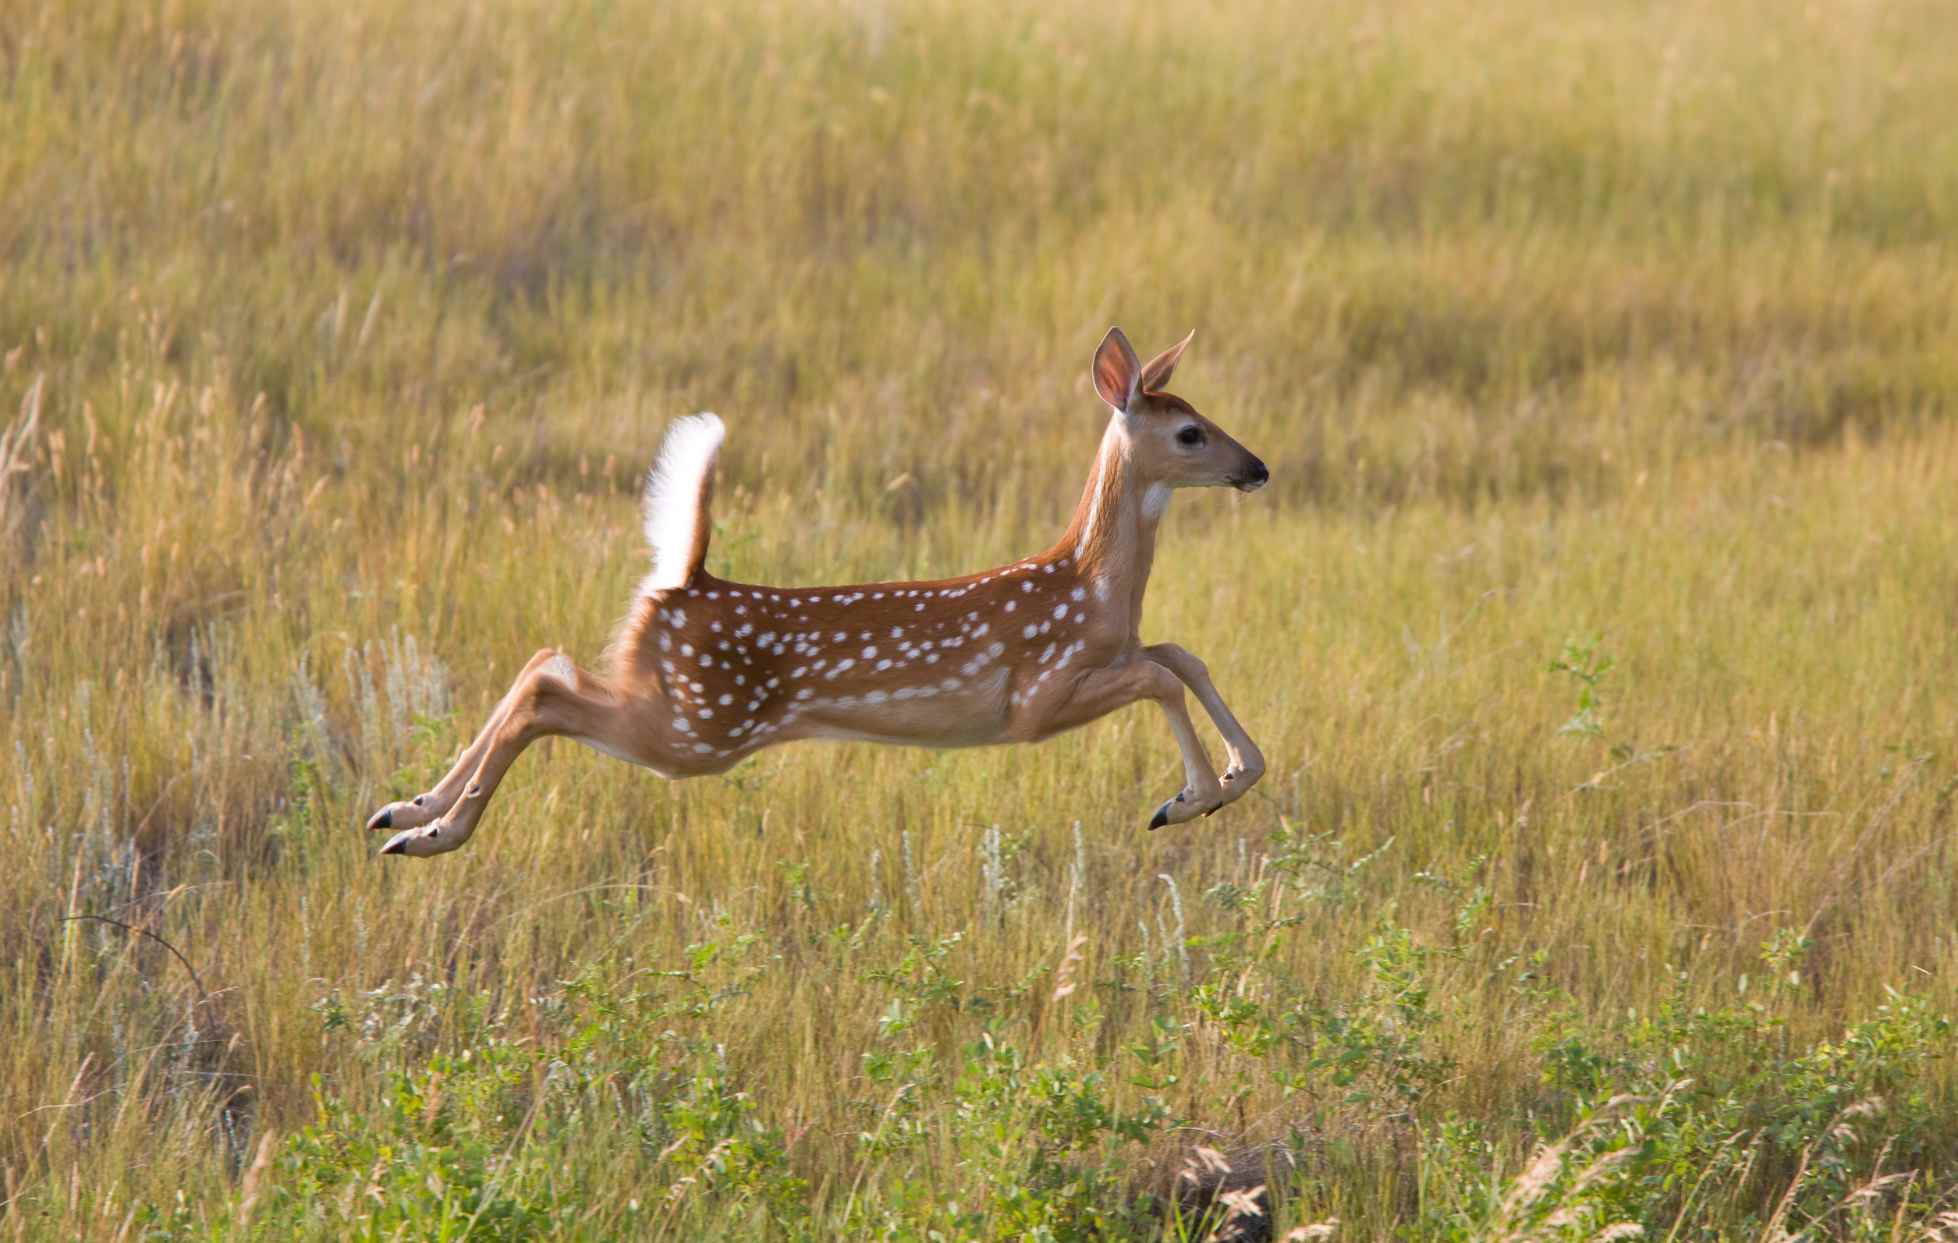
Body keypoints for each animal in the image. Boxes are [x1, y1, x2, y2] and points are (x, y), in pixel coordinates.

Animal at [368, 328, 1268, 857]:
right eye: (1190, 432)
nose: (1255, 467)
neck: (1093, 586)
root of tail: (682, 580)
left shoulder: (1117, 650)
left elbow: (1181, 654)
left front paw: (1233, 776)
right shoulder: (1037, 697)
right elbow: (1159, 674)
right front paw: (1187, 799)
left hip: (673, 707)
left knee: (542, 661)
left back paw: (405, 809)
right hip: (697, 727)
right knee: (545, 692)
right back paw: (434, 831)